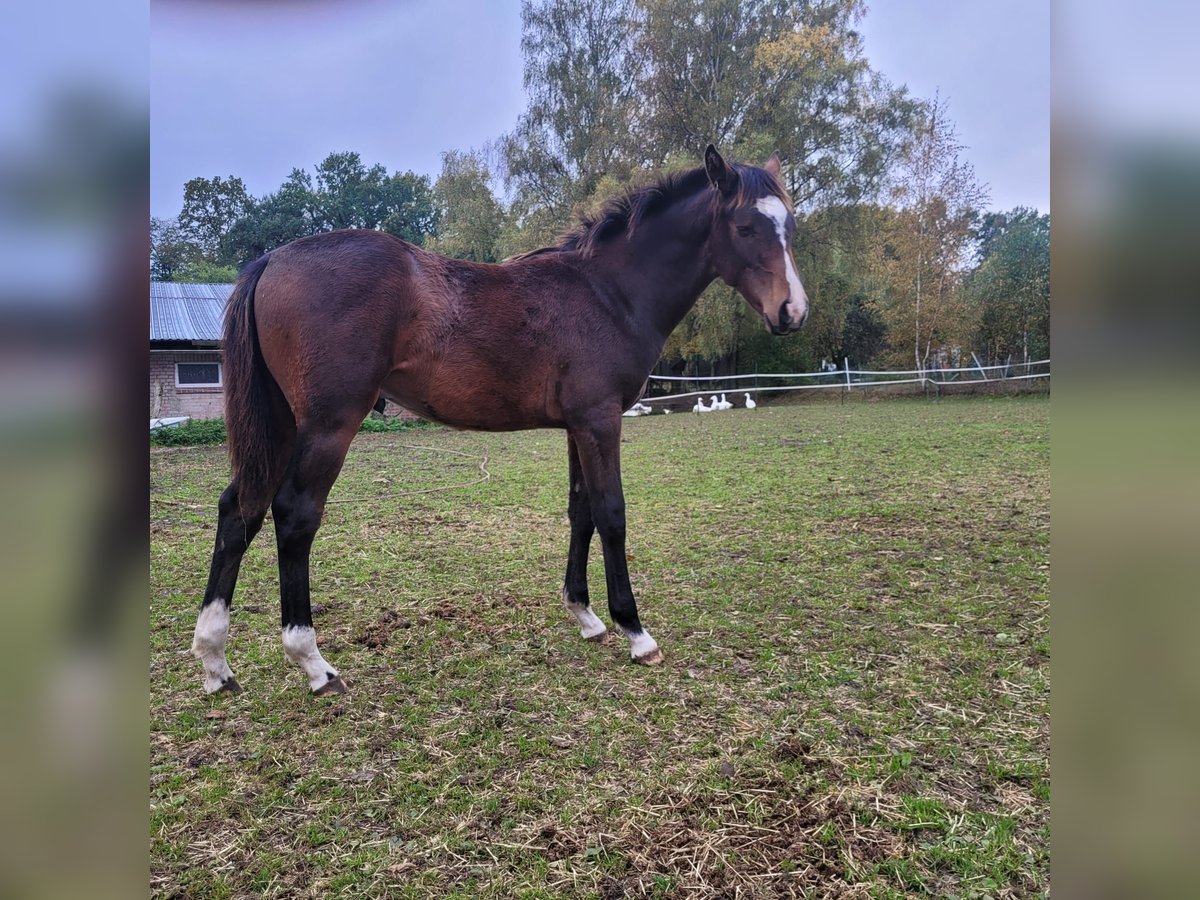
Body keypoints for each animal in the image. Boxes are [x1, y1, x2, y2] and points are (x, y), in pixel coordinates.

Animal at [192, 146, 811, 696]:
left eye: (790, 226)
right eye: (745, 226)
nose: (793, 312)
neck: (608, 292)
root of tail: (273, 259)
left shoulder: (578, 426)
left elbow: (581, 512)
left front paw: (586, 617)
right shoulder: (601, 420)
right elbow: (611, 515)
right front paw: (635, 632)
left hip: (281, 425)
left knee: (239, 509)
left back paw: (216, 663)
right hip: (326, 426)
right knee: (294, 515)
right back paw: (314, 664)